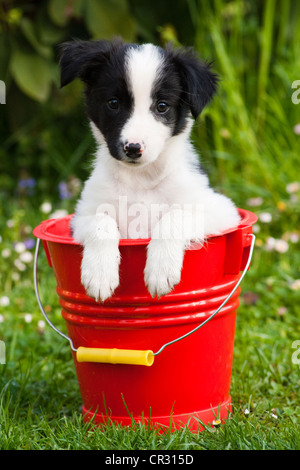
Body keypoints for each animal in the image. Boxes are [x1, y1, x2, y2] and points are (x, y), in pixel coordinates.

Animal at [59, 36, 240, 302]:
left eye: (162, 106)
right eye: (113, 103)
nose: (133, 148)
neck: (140, 179)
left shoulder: (221, 210)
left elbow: (174, 216)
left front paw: (161, 271)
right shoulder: (81, 216)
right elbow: (101, 222)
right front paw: (100, 275)